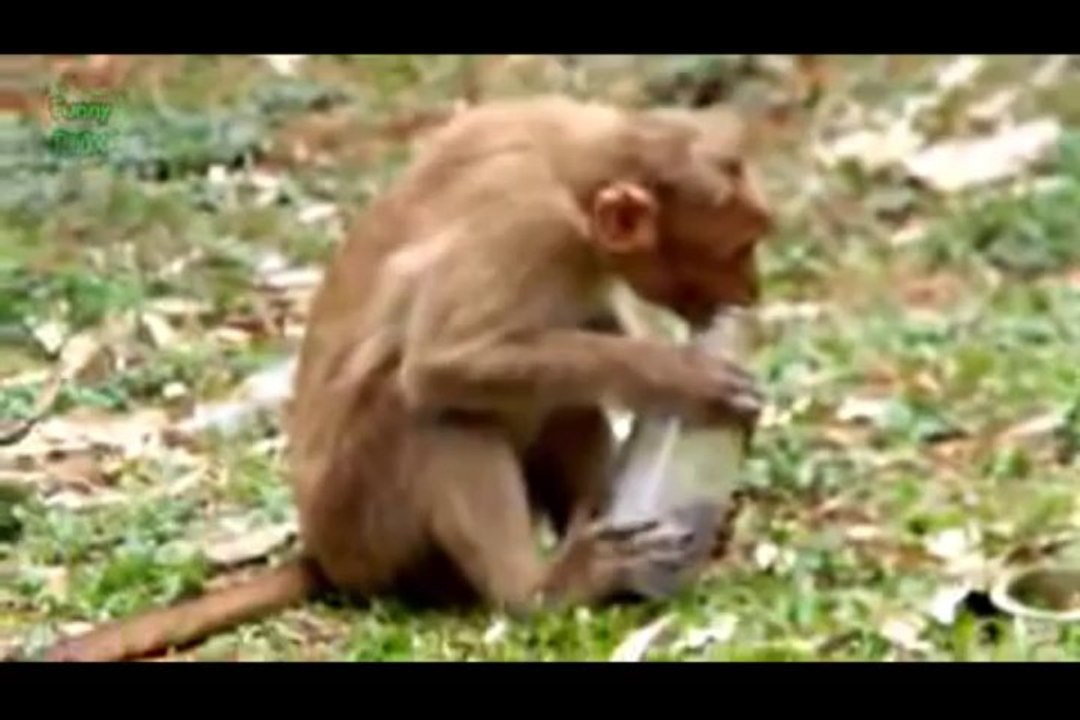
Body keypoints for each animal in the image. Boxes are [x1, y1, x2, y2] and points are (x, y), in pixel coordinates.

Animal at [40, 95, 773, 662]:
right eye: (738, 249)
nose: (752, 291)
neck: (573, 170)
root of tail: (323, 553)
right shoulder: (528, 227)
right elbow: (445, 361)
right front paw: (683, 375)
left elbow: (585, 328)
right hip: (367, 520)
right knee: (433, 408)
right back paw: (539, 592)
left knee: (551, 394)